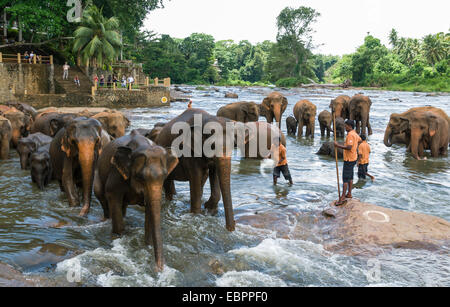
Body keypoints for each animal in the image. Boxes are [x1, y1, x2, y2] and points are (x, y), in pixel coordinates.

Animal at [93, 131, 178, 270]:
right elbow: (112, 195)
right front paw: (119, 236)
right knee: (102, 198)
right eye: (140, 177)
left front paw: (147, 244)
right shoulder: (116, 173)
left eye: (165, 176)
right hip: (98, 175)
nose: (159, 269)